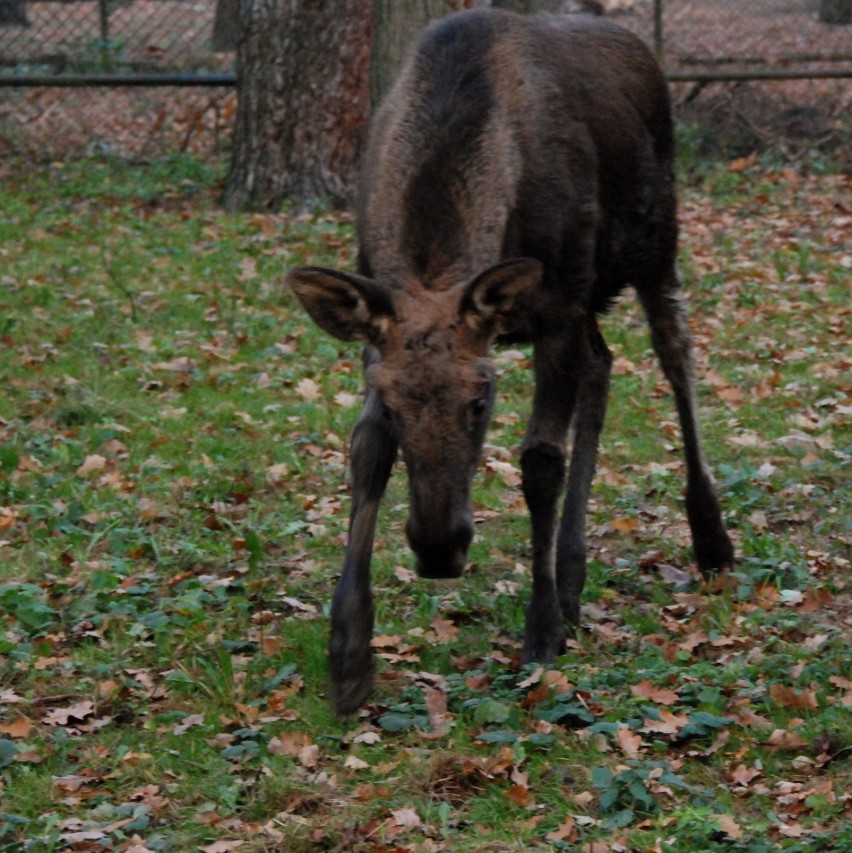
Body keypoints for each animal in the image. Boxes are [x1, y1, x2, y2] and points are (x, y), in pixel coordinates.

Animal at [286, 8, 732, 712]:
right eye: (396, 406)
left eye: (481, 399)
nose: (439, 549)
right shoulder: (380, 338)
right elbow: (365, 450)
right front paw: (349, 651)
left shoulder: (559, 304)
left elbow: (541, 461)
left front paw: (541, 629)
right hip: (594, 298)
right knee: (603, 365)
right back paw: (574, 573)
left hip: (654, 244)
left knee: (676, 355)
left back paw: (711, 538)